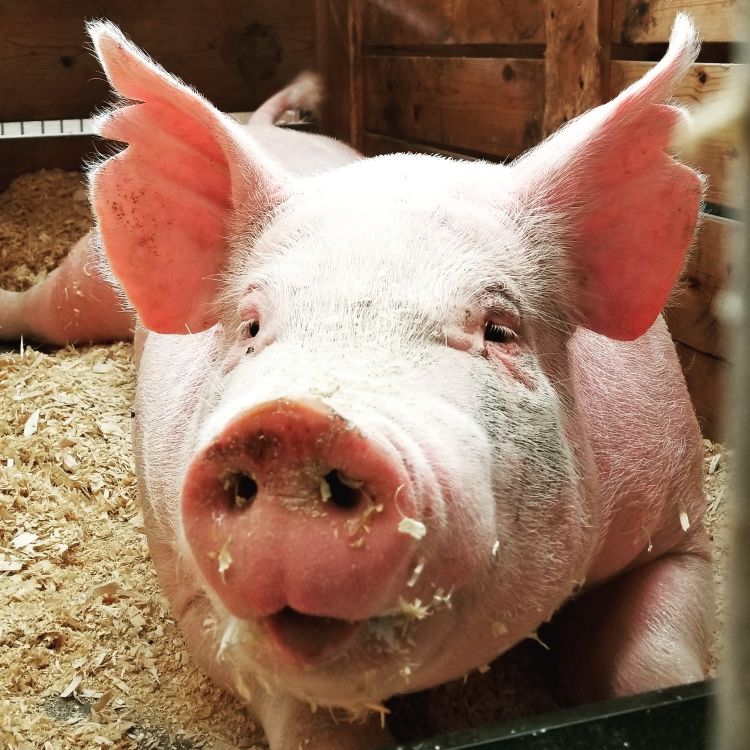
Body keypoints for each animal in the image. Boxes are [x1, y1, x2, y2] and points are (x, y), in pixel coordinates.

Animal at [1, 13, 716, 750]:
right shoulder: (195, 595)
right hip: (87, 274)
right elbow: (302, 711)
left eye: (499, 329)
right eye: (252, 326)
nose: (293, 426)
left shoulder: (680, 527)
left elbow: (659, 667)